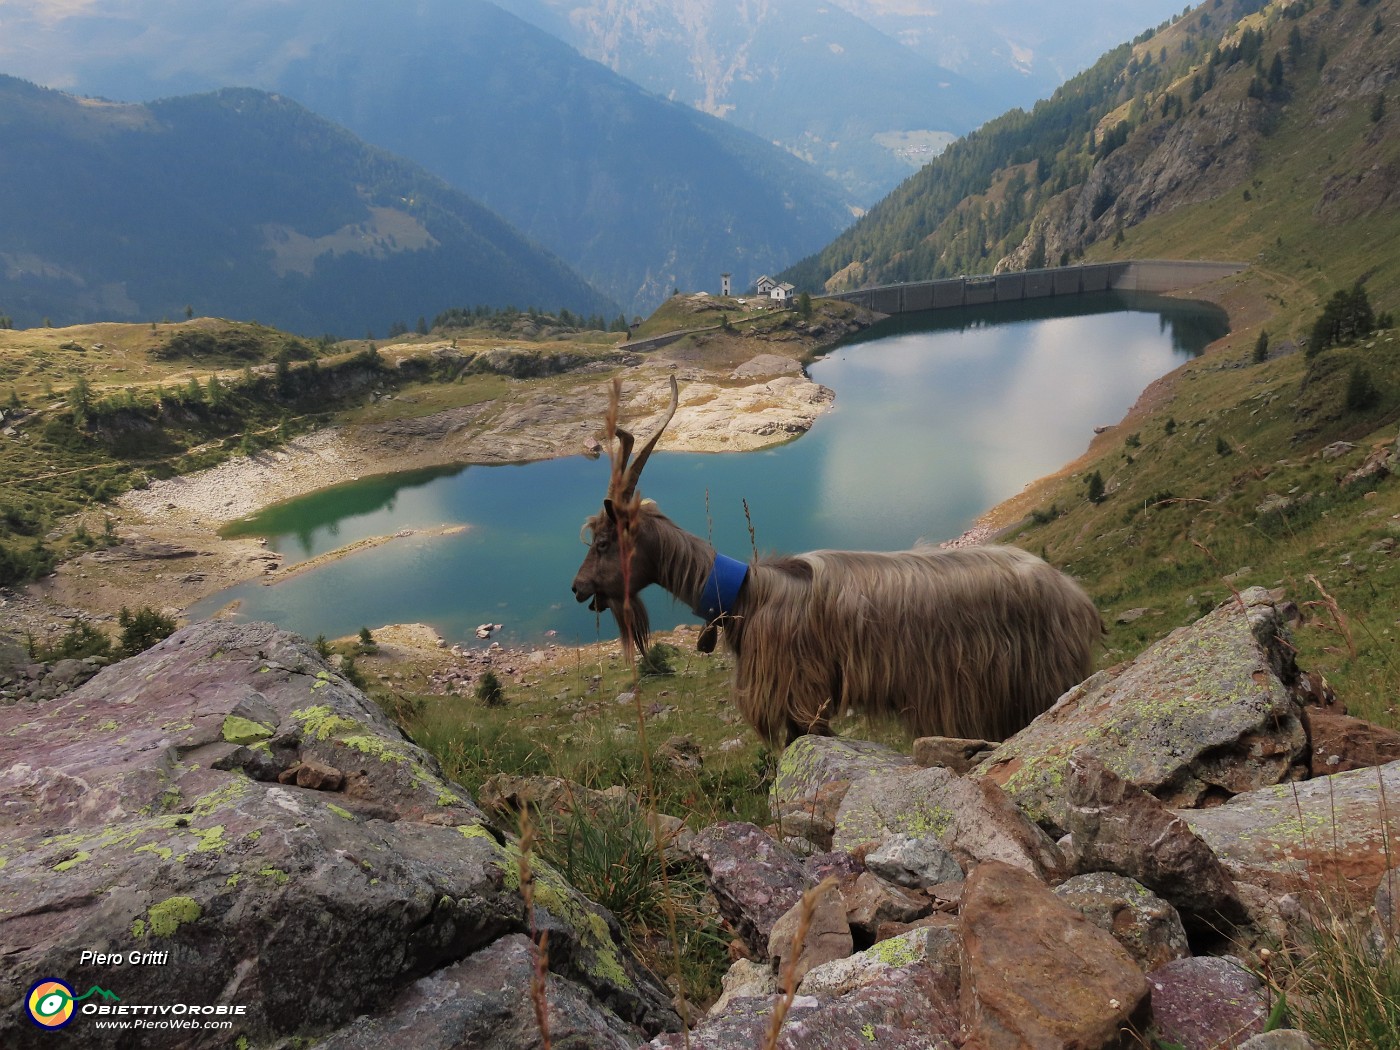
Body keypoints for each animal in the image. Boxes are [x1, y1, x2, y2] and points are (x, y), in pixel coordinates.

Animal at [568, 378, 1103, 750]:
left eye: (603, 543)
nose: (576, 588)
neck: (746, 592)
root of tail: (1077, 598)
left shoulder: (802, 696)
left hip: (1036, 684)